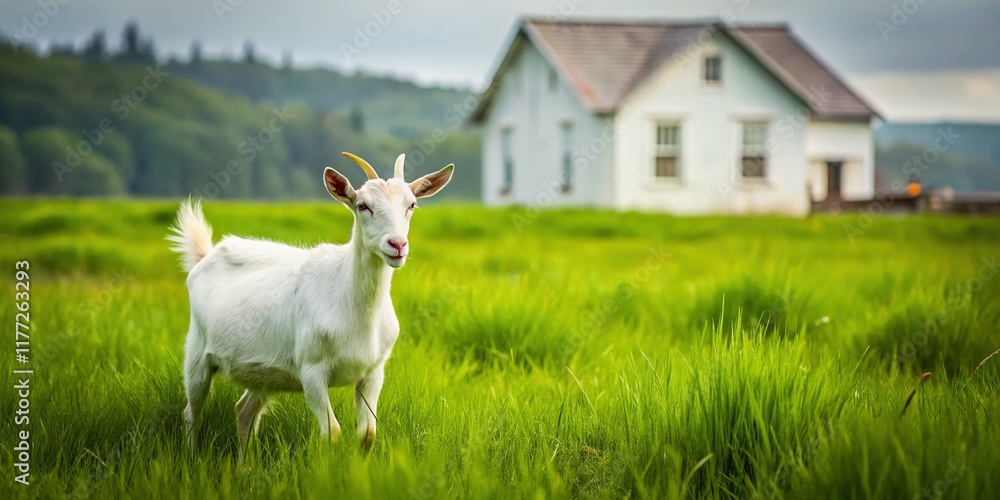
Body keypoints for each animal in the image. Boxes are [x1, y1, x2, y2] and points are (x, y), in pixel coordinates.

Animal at [167, 152, 453, 458]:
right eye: (362, 206)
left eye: (411, 205)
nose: (397, 245)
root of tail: (205, 257)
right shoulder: (312, 370)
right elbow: (333, 432)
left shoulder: (373, 371)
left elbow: (368, 434)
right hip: (197, 351)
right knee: (192, 411)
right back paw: (192, 458)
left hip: (264, 373)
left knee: (244, 411)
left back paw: (245, 465)